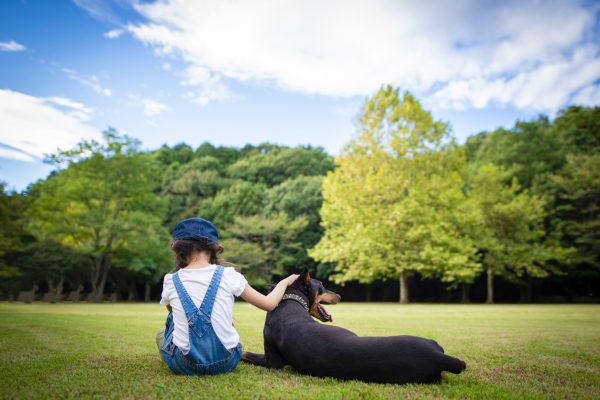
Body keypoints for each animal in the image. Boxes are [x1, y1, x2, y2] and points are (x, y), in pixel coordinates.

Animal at [241, 270, 466, 382]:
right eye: (322, 287)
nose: (340, 295)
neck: (291, 301)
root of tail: (438, 357)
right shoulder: (273, 363)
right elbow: (248, 354)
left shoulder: (273, 363)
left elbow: (248, 353)